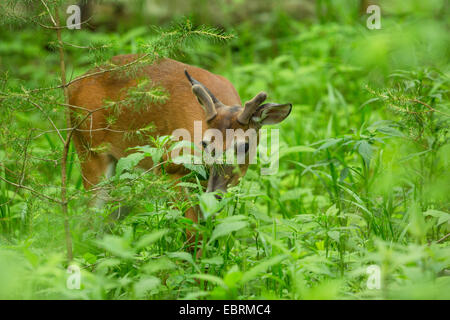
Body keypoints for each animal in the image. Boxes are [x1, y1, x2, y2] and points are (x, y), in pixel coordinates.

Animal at [67, 53, 292, 250]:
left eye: (244, 145)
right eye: (204, 143)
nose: (215, 191)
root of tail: (73, 85)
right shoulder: (169, 171)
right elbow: (193, 233)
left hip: (128, 175)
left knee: (105, 224)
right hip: (90, 152)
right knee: (88, 221)